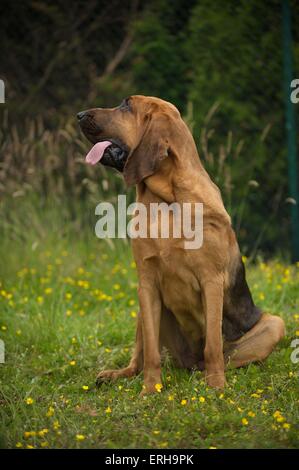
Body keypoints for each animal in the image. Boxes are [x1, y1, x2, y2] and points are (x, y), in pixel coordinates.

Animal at [77, 95, 286, 392]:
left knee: (222, 356)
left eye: (126, 106)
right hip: (141, 310)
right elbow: (151, 353)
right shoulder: (147, 284)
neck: (166, 201)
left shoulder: (211, 281)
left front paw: (216, 387)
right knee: (139, 359)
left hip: (274, 325)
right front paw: (150, 390)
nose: (79, 115)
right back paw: (118, 374)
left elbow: (213, 346)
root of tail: (188, 363)